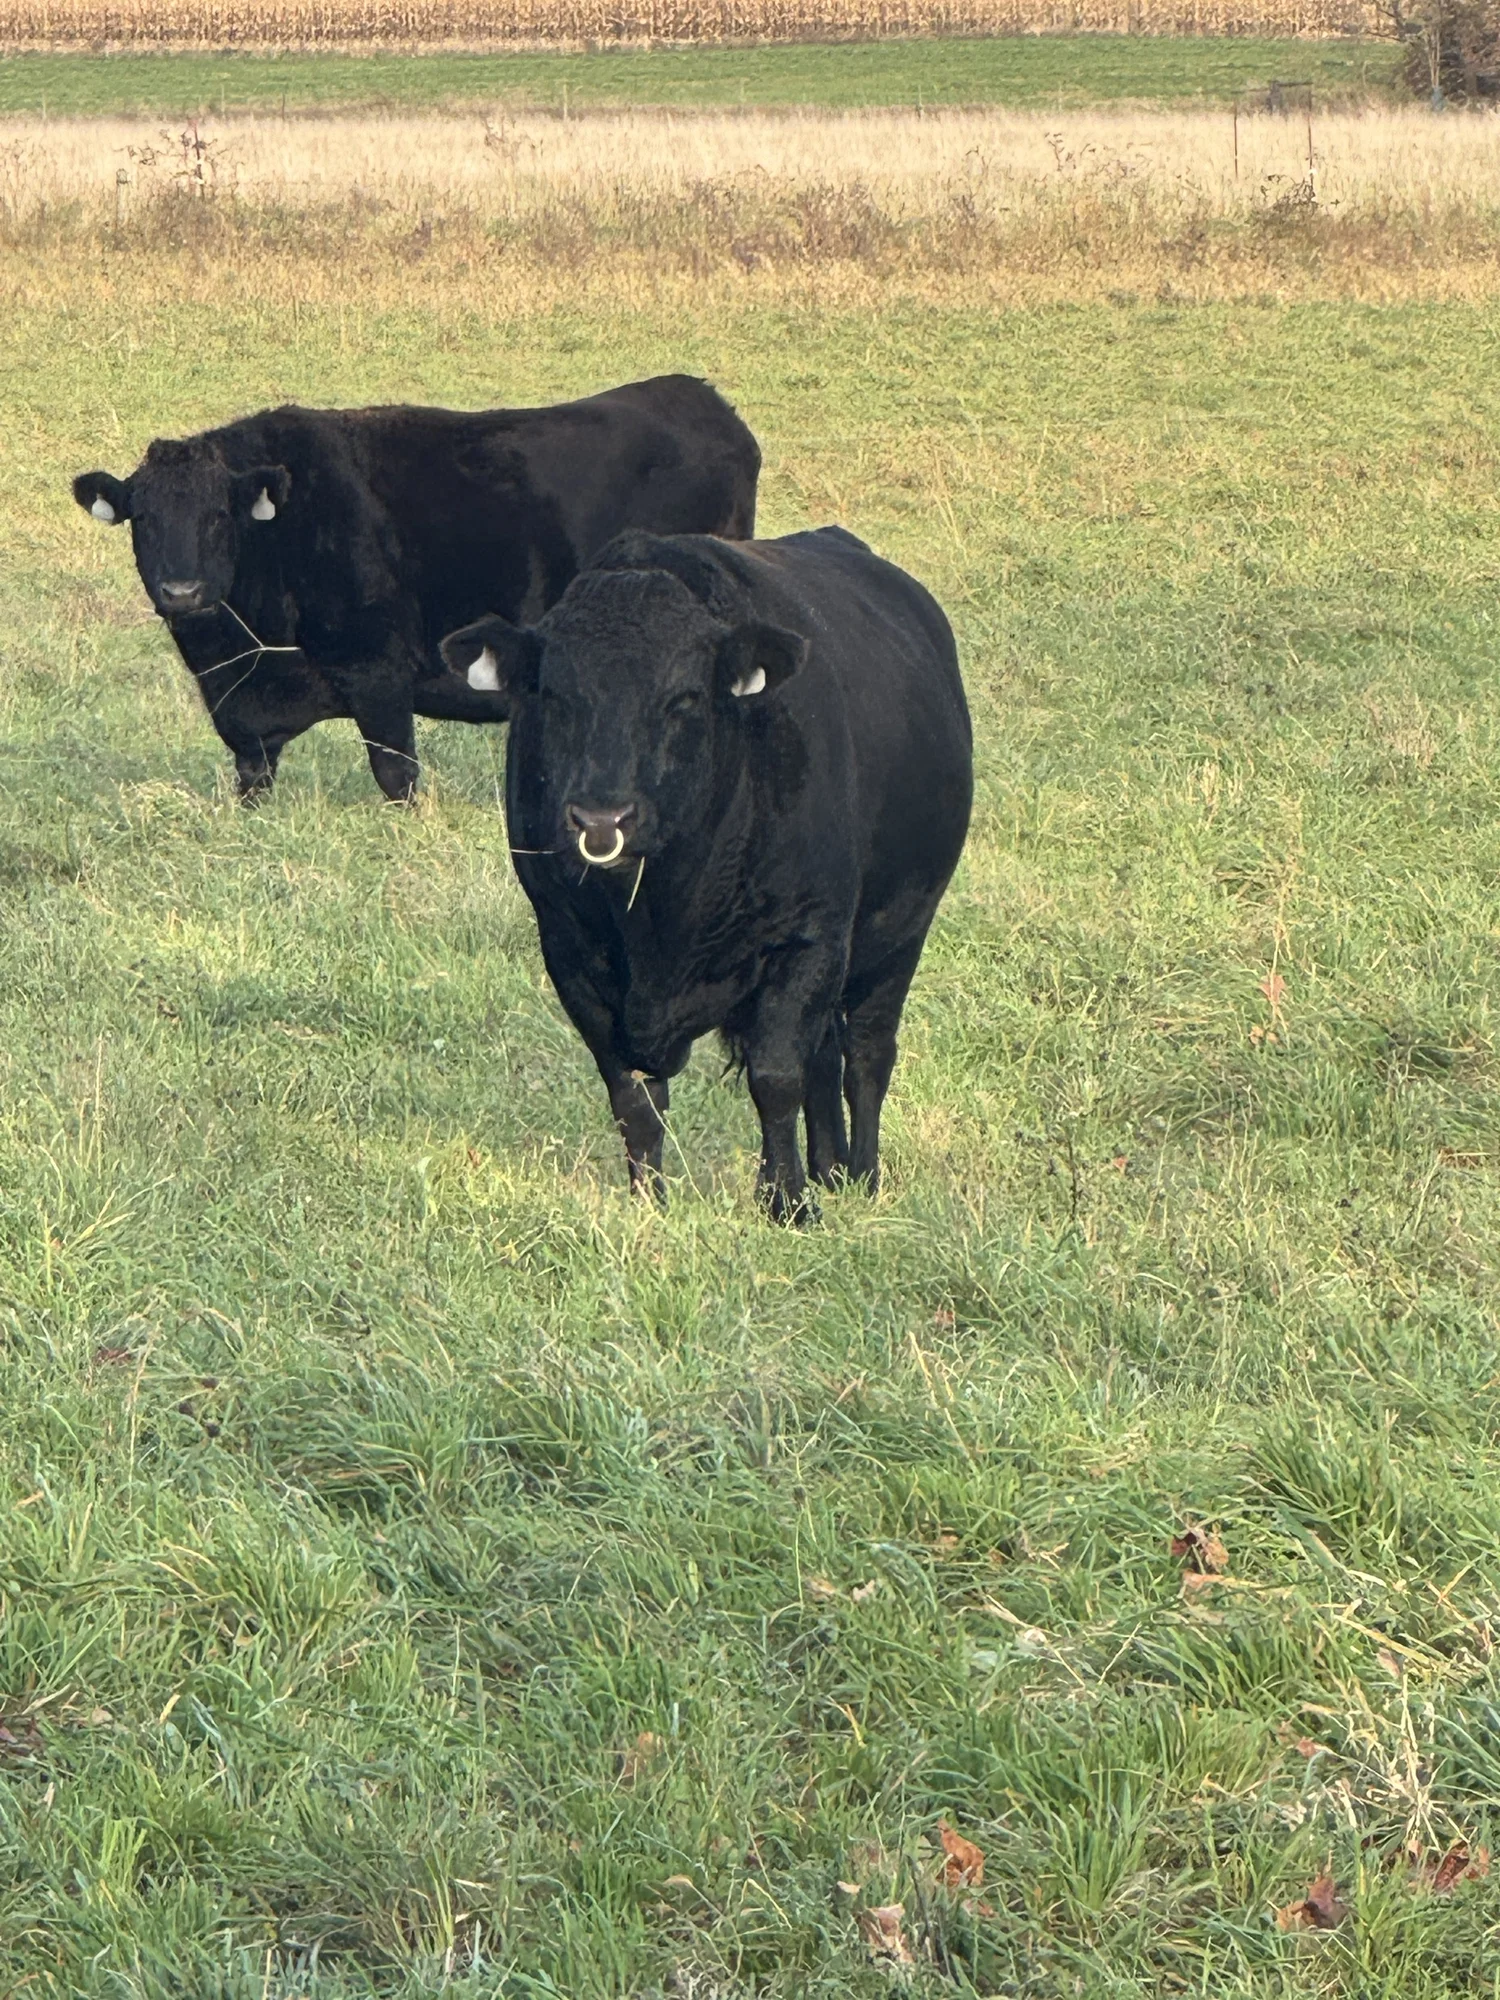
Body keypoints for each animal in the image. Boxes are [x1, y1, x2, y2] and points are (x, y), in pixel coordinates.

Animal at [72, 376, 760, 804]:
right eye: (144, 518)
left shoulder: (377, 670)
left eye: (219, 517)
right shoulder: (248, 723)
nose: (182, 590)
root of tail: (701, 398)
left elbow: (396, 773)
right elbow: (253, 780)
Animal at [439, 525, 972, 1222]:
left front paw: (786, 1204)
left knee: (866, 1053)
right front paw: (649, 1204)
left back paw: (861, 1175)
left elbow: (777, 1078)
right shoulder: (568, 949)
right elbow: (633, 1096)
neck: (659, 919)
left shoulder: (806, 938)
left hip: (898, 932)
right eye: (553, 696)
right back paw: (830, 1170)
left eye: (684, 699)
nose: (601, 818)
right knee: (827, 1055)